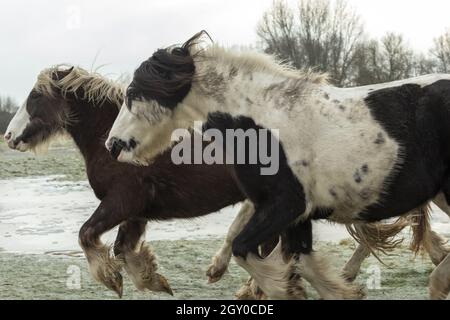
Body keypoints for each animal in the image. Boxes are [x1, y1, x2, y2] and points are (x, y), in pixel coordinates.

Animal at [106, 33, 450, 300]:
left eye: (133, 92)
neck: (265, 123)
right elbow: (307, 267)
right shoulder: (297, 217)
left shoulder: (286, 206)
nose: (113, 145)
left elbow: (247, 250)